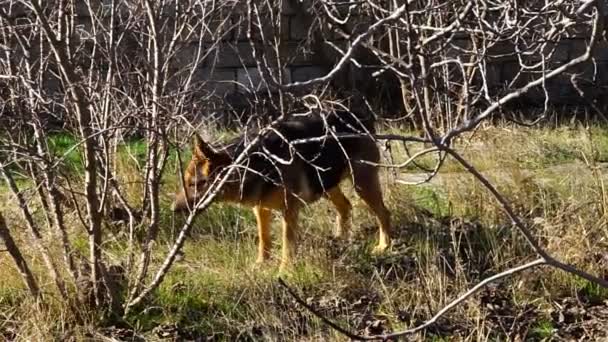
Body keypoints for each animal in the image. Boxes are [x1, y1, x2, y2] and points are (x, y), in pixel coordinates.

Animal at [172, 108, 390, 272]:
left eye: (194, 184)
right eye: (186, 183)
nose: (172, 209)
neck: (251, 164)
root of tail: (359, 117)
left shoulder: (289, 211)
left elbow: (287, 244)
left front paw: (284, 271)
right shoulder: (260, 209)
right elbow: (264, 239)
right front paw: (261, 264)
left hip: (362, 184)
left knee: (383, 212)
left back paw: (384, 245)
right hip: (326, 184)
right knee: (346, 206)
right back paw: (341, 240)